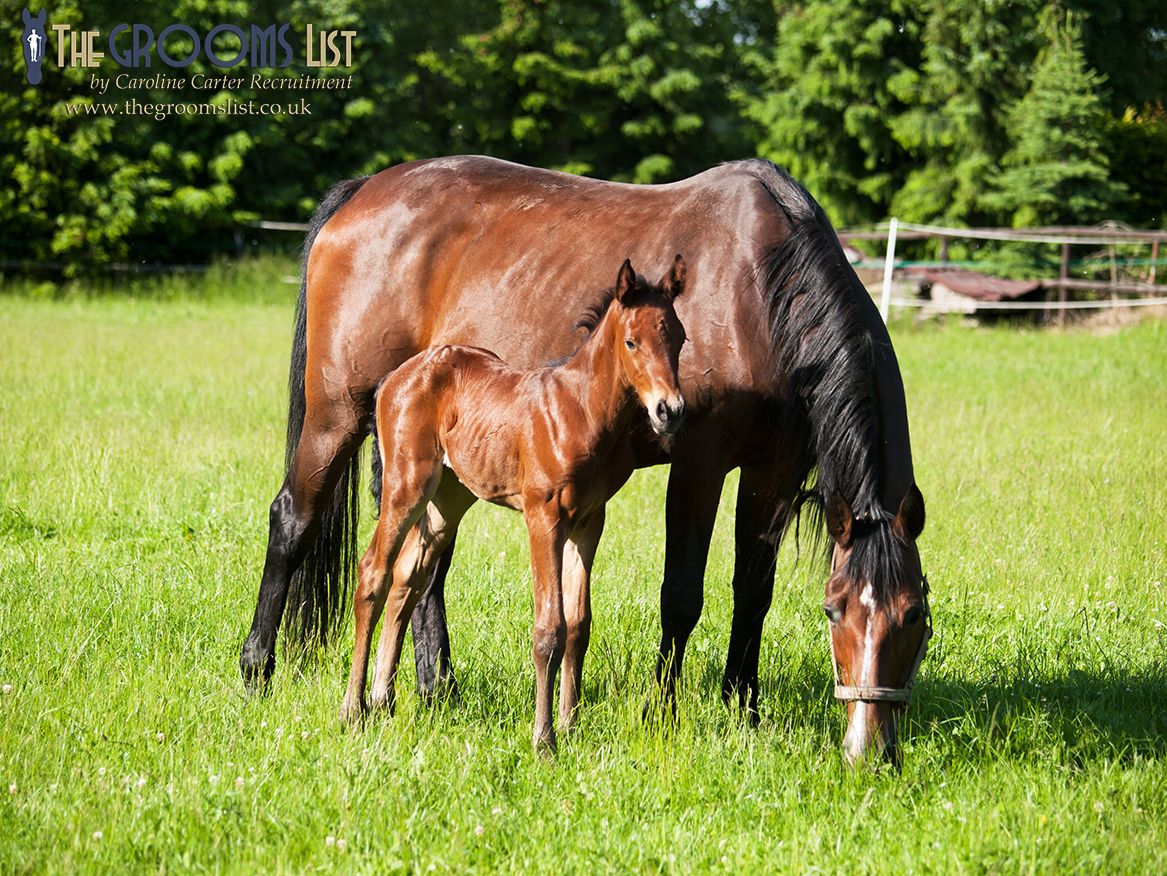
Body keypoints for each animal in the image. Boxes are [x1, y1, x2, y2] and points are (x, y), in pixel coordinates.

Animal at [339, 257, 687, 752]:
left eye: (679, 338)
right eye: (631, 341)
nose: (669, 411)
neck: (582, 411)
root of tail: (395, 378)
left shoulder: (589, 521)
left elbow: (578, 624)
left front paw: (570, 725)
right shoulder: (544, 517)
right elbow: (549, 629)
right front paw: (544, 739)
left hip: (448, 499)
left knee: (407, 578)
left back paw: (382, 700)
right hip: (407, 485)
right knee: (374, 572)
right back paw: (353, 709)